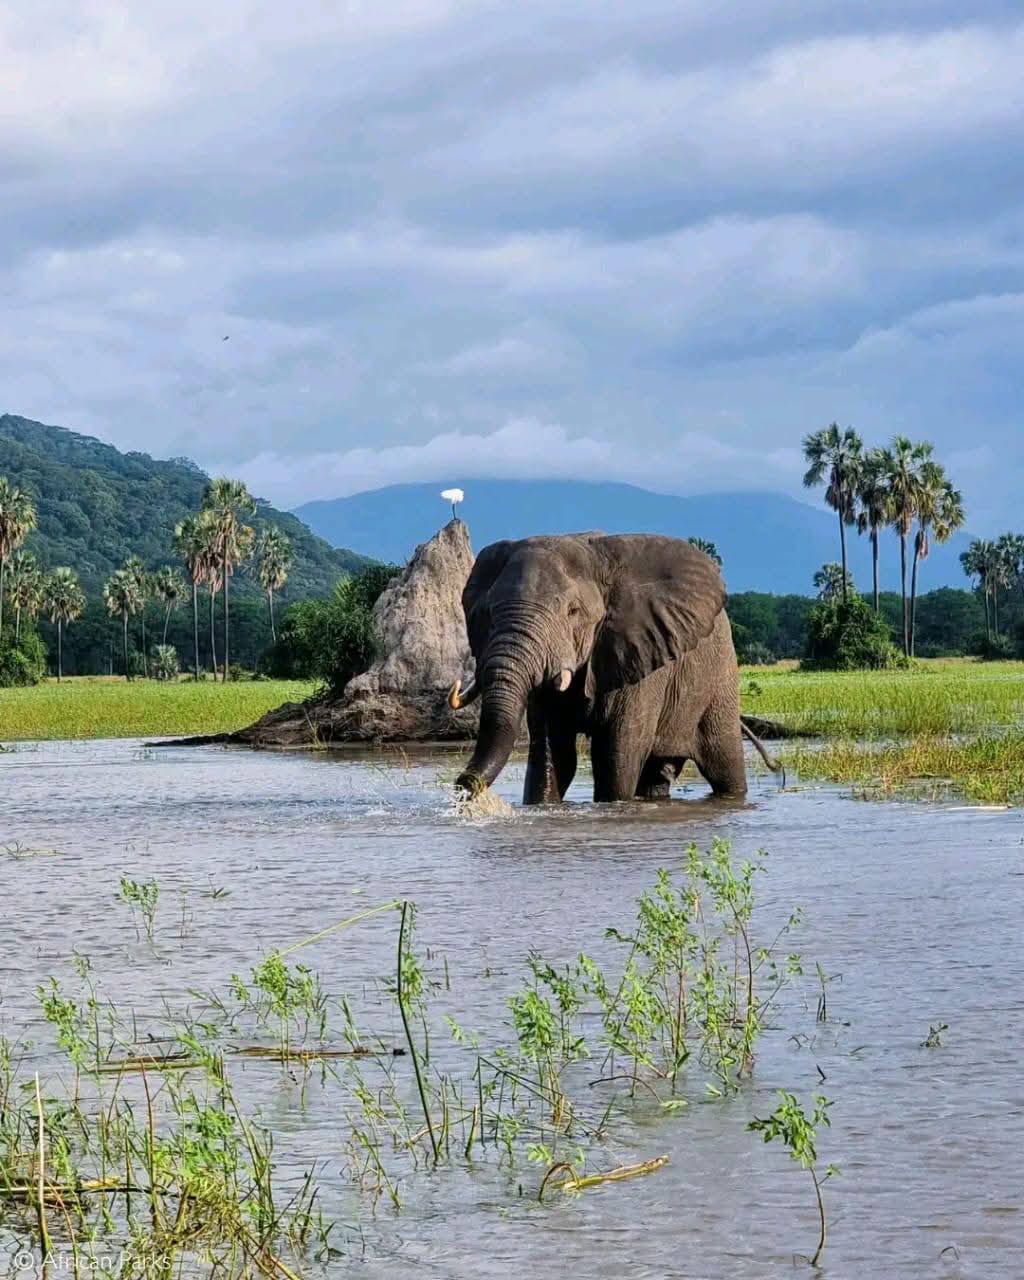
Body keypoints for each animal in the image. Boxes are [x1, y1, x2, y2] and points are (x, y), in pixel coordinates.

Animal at [447, 532, 777, 804]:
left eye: (573, 611)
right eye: (486, 613)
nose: (464, 785)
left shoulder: (641, 655)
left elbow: (617, 754)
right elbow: (553, 755)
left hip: (720, 677)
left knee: (725, 767)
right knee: (656, 776)